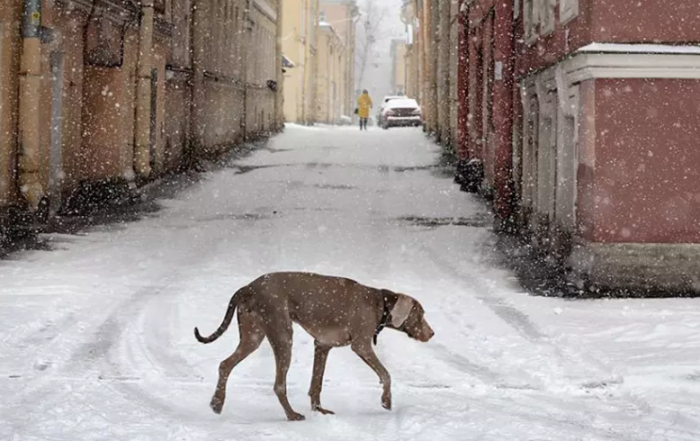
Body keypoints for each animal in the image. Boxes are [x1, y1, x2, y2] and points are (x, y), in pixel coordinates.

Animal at [194, 272, 434, 420]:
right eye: (421, 314)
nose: (432, 334)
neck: (380, 303)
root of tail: (248, 287)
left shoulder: (322, 345)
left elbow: (316, 383)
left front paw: (319, 410)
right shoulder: (361, 345)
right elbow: (386, 374)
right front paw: (386, 401)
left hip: (252, 336)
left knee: (225, 364)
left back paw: (216, 403)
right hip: (282, 334)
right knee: (279, 384)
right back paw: (292, 415)